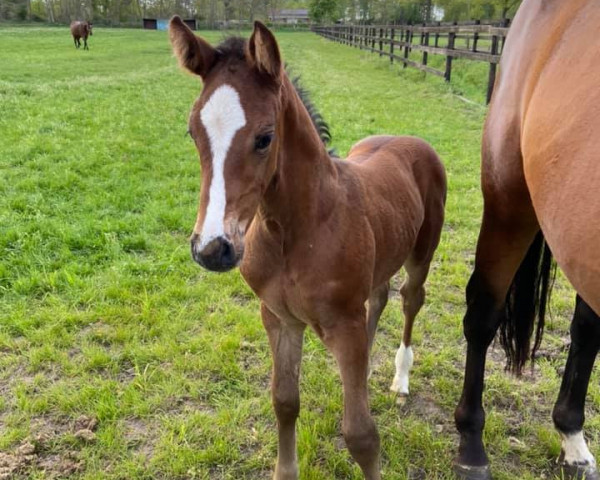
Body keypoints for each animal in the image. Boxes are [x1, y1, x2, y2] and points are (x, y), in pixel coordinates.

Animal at [168, 15, 446, 480]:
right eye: (193, 132)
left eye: (265, 137)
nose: (212, 249)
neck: (295, 231)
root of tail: (410, 139)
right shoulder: (279, 318)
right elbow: (284, 402)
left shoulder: (344, 325)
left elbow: (361, 435)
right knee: (380, 297)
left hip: (421, 255)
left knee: (410, 300)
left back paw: (400, 378)